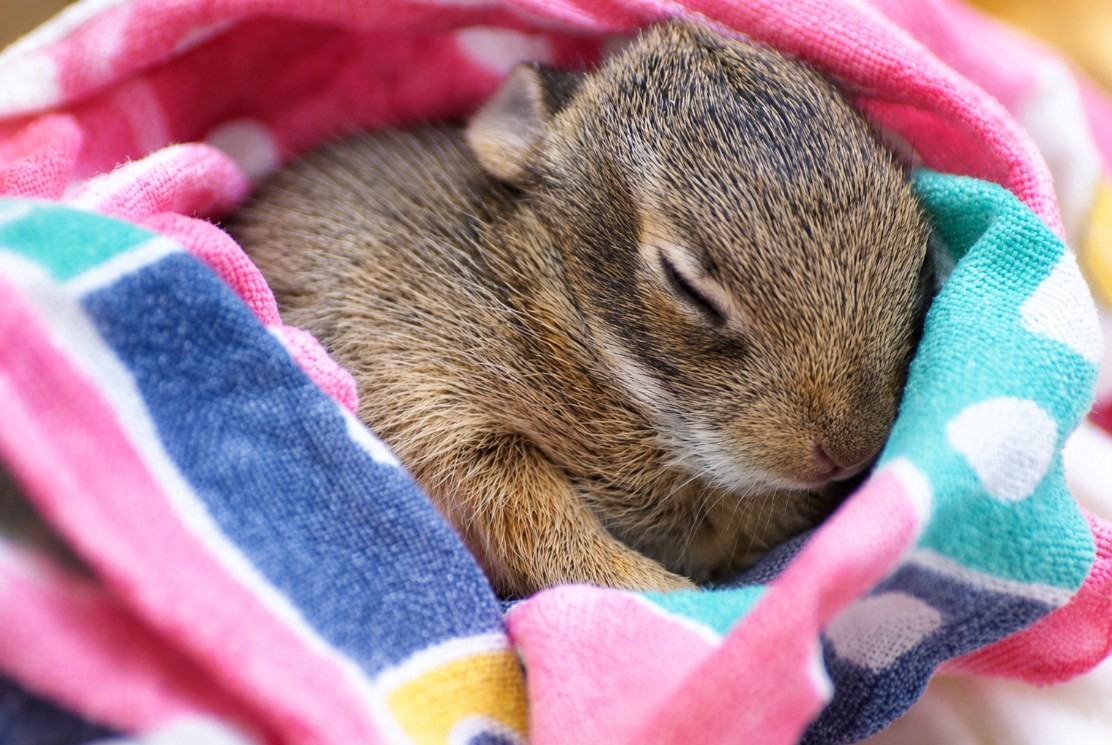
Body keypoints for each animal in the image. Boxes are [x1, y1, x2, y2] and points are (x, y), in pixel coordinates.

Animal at [230, 21, 933, 597]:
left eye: (921, 249)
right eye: (686, 285)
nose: (850, 451)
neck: (563, 306)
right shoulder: (430, 392)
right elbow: (539, 522)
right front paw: (666, 594)